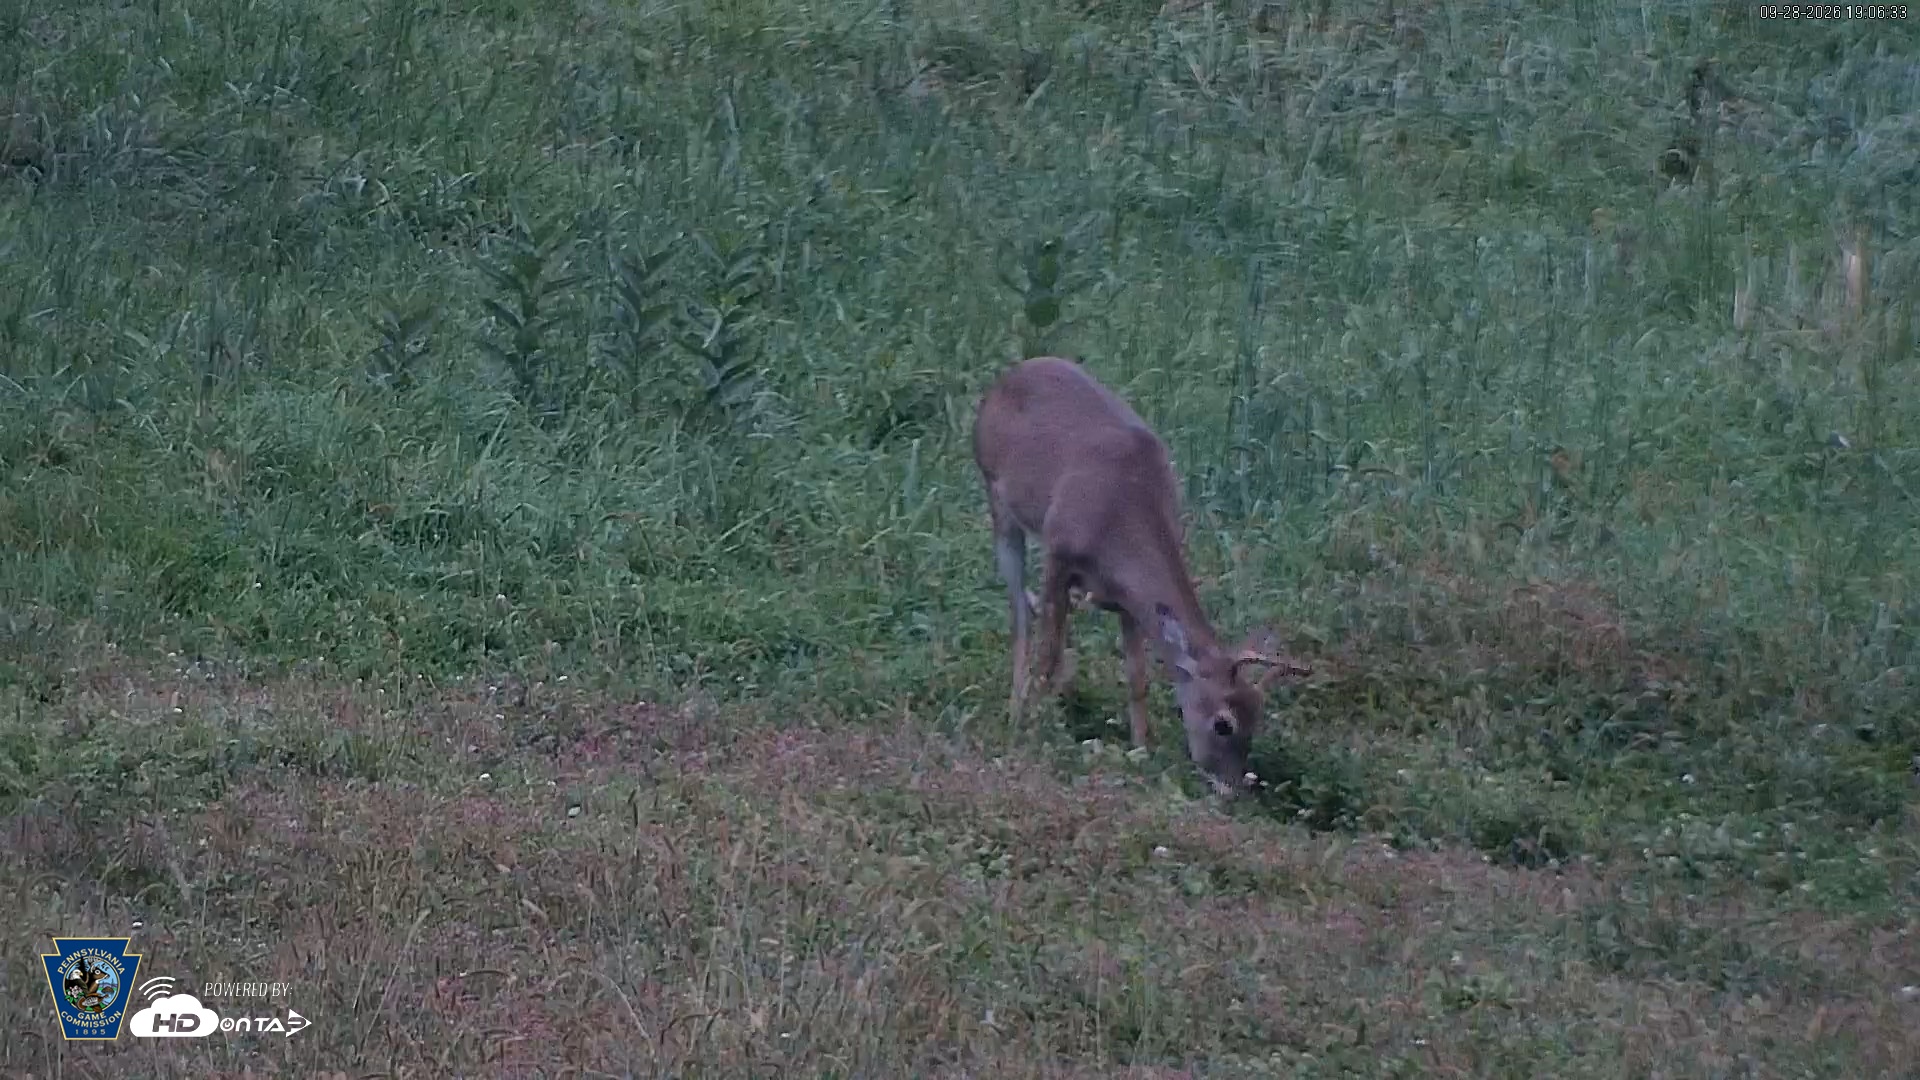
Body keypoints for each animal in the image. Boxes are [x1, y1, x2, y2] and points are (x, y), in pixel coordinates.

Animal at [972, 356, 1309, 796]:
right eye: (1223, 724)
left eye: (1258, 715)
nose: (1231, 787)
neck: (1122, 511)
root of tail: (1005, 379)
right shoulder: (1059, 552)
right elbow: (1048, 655)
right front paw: (1035, 732)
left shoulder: (1127, 601)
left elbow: (1137, 676)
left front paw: (1141, 748)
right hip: (998, 502)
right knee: (1020, 619)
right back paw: (1016, 712)